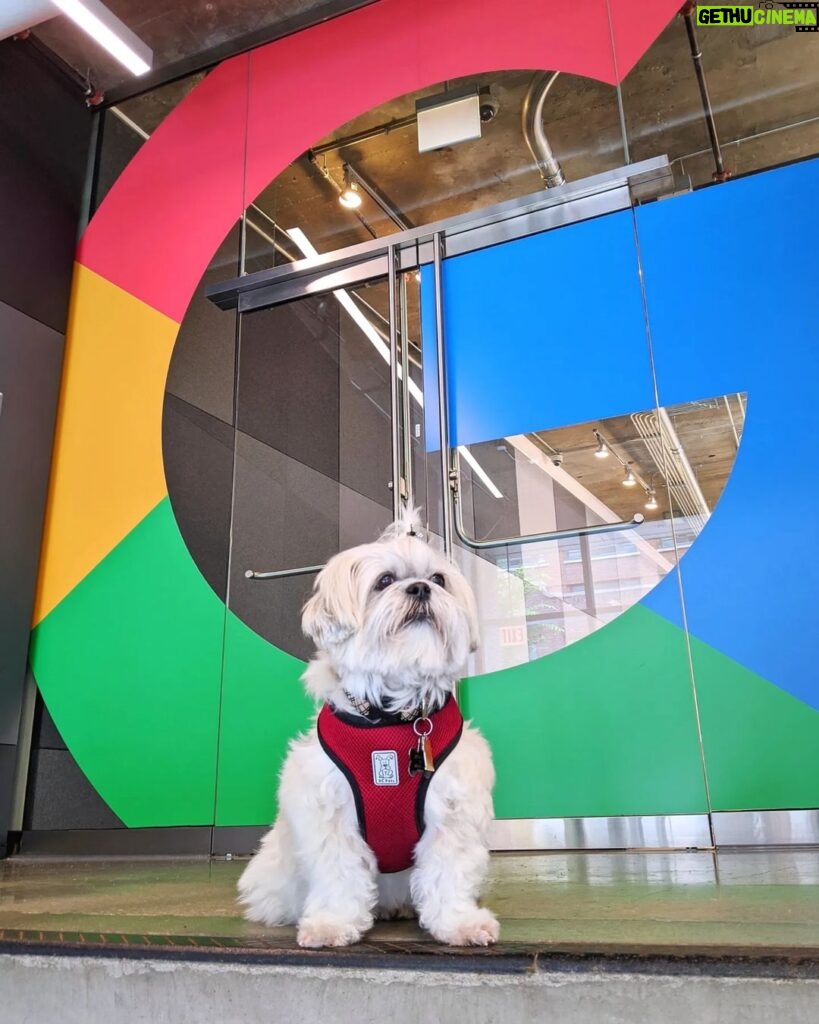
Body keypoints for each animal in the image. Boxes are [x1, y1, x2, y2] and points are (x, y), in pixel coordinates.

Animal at [236, 507, 499, 946]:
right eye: (385, 581)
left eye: (438, 579)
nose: (421, 589)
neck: (392, 717)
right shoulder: (329, 813)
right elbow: (339, 874)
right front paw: (332, 923)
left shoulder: (453, 810)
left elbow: (448, 872)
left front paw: (458, 923)